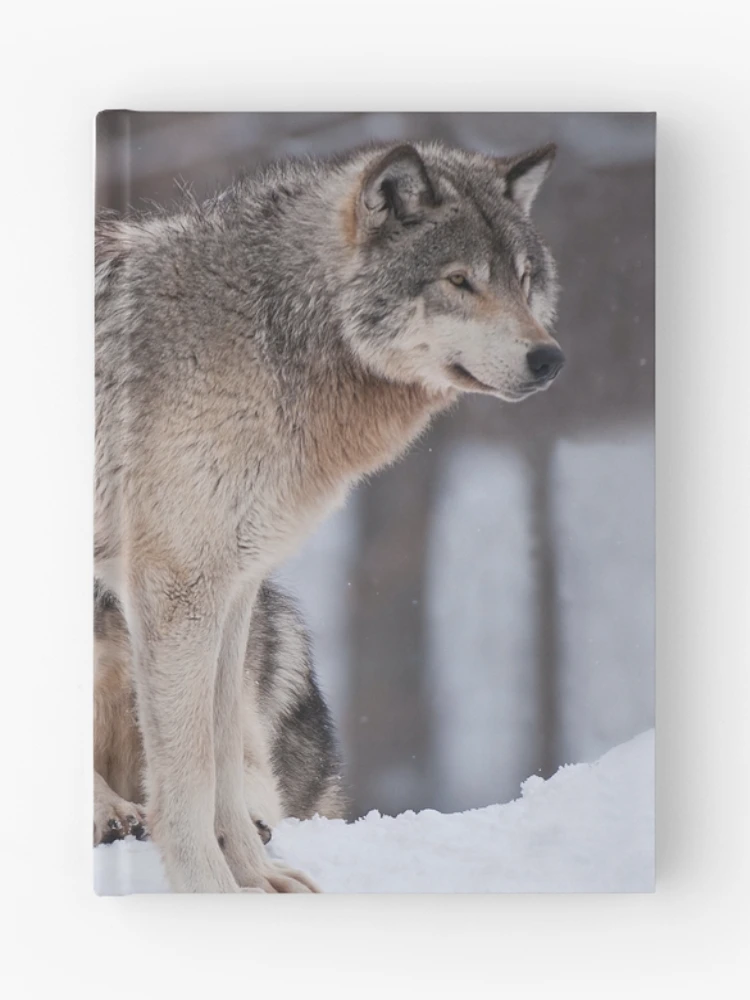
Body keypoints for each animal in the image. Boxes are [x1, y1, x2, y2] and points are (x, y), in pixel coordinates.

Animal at [95, 138, 564, 892]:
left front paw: (256, 881)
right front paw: (210, 890)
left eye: (524, 280)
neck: (271, 332)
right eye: (460, 281)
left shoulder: (233, 591)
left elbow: (226, 756)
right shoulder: (177, 590)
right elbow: (189, 772)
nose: (549, 358)